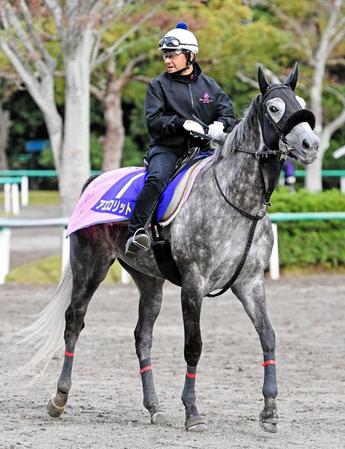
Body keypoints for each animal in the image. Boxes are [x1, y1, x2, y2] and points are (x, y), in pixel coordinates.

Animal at [13, 63, 318, 430]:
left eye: (301, 102)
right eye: (274, 107)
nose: (311, 144)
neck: (235, 200)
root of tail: (93, 181)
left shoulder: (250, 283)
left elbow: (268, 336)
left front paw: (270, 410)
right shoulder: (193, 284)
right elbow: (193, 346)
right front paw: (192, 411)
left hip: (149, 281)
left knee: (142, 335)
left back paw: (153, 406)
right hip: (90, 267)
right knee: (74, 321)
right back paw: (59, 398)